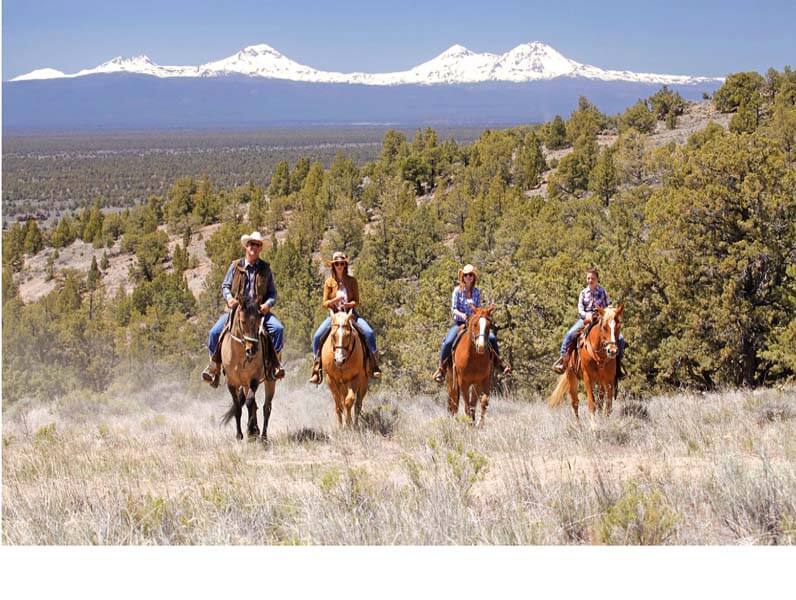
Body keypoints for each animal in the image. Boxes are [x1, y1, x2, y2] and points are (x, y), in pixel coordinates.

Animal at [219, 298, 278, 440]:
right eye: (242, 321)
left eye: (258, 320)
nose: (252, 350)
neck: (240, 356)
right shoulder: (231, 383)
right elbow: (238, 406)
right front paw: (240, 435)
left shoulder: (254, 379)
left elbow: (249, 402)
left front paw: (251, 429)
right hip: (245, 385)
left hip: (269, 381)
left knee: (266, 407)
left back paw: (262, 436)